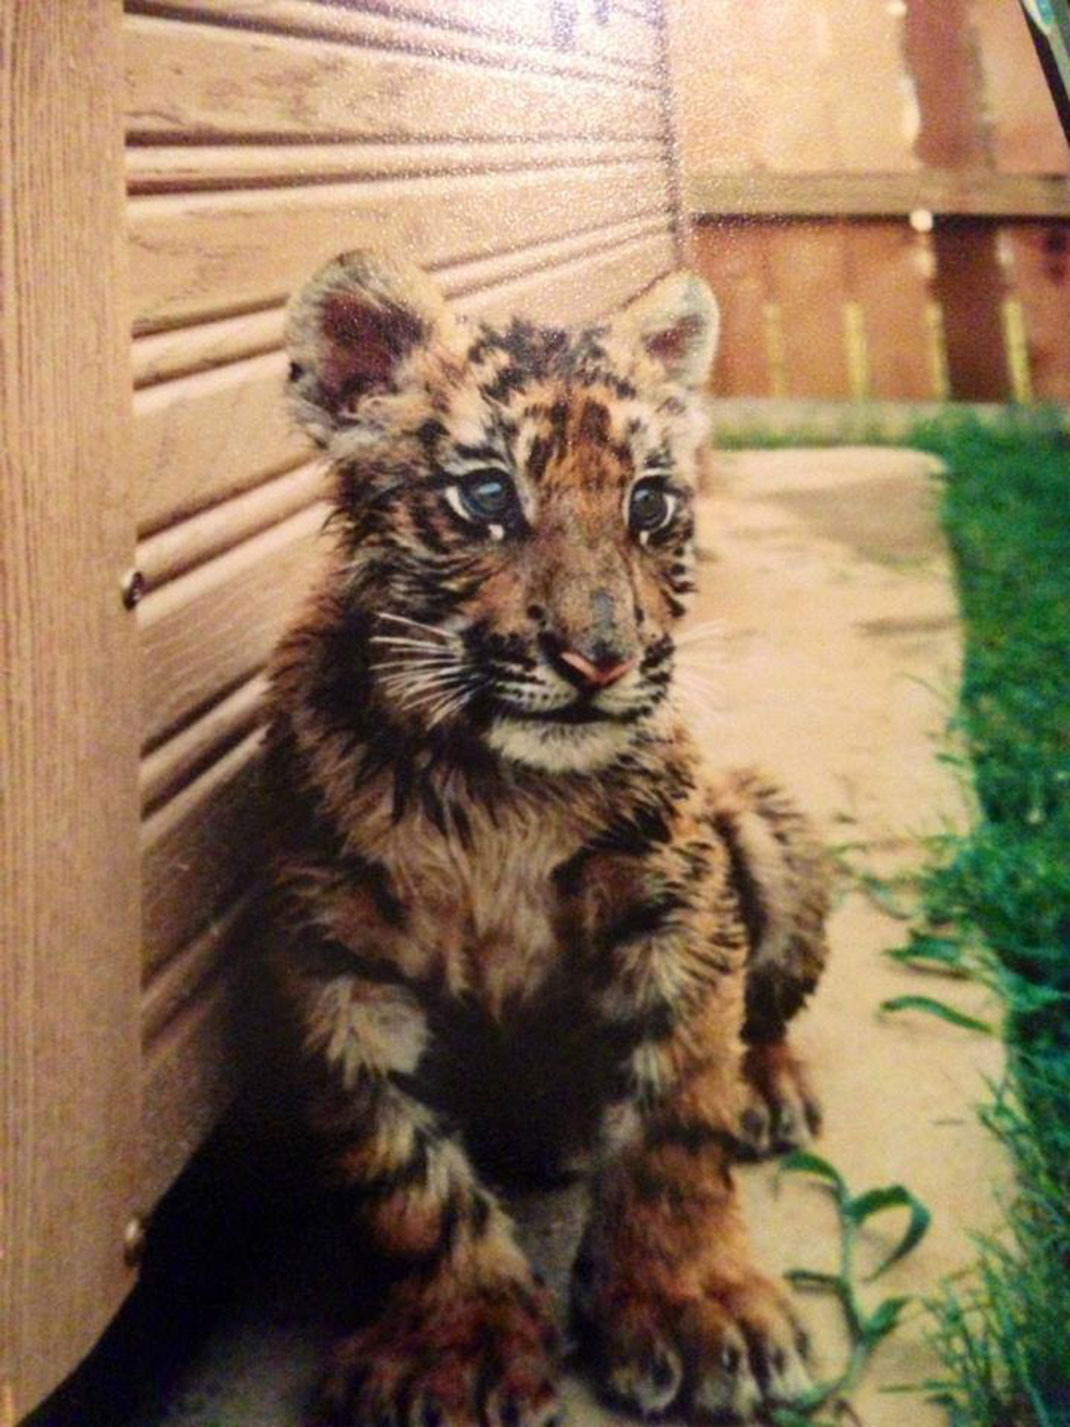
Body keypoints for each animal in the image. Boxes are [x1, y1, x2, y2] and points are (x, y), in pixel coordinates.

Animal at [265, 249, 830, 1426]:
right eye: (486, 496)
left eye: (650, 502)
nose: (600, 657)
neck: (496, 790)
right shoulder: (332, 965)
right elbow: (403, 1173)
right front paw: (457, 1344)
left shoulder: (680, 913)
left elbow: (676, 1118)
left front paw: (698, 1310)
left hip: (759, 825)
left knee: (761, 1020)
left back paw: (771, 1091)